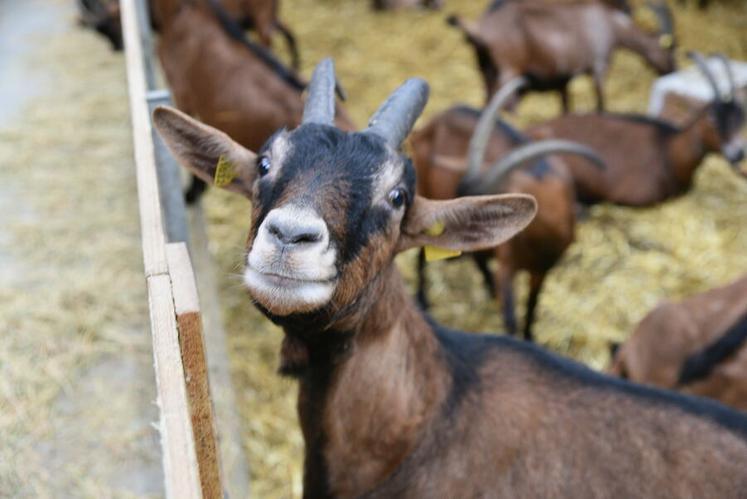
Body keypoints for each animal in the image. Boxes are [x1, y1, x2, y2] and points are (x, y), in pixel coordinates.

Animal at [410, 77, 606, 340]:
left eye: (483, 207)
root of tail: (434, 122)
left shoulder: (541, 270)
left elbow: (532, 306)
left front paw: (530, 337)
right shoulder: (507, 266)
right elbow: (511, 317)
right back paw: (424, 298)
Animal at [448, 1, 676, 111]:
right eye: (670, 48)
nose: (671, 70)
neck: (611, 24)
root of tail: (481, 28)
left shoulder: (562, 78)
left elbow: (566, 104)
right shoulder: (599, 65)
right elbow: (601, 102)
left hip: (486, 70)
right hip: (508, 71)